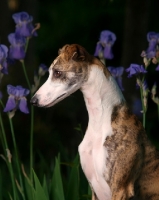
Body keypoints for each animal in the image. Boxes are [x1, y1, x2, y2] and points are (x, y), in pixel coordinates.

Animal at [30, 44, 159, 200]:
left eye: (58, 73)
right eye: (51, 73)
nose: (33, 101)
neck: (101, 121)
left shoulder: (121, 189)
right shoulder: (94, 189)